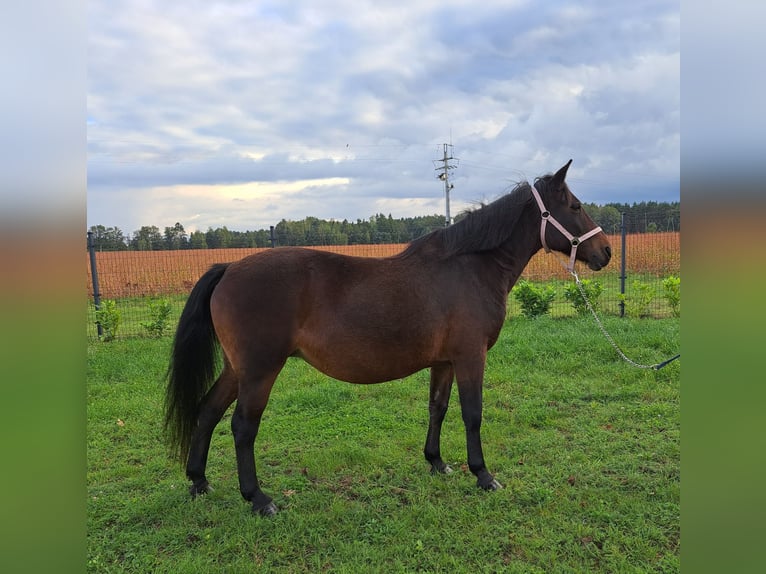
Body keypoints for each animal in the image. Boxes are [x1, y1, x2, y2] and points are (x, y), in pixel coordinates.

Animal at [166, 161, 612, 516]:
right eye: (575, 206)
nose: (605, 252)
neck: (470, 267)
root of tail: (229, 268)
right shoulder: (471, 357)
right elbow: (472, 414)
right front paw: (483, 475)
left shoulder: (444, 361)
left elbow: (438, 408)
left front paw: (437, 462)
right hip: (260, 371)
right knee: (242, 426)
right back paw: (258, 499)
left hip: (236, 369)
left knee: (207, 411)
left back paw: (199, 481)